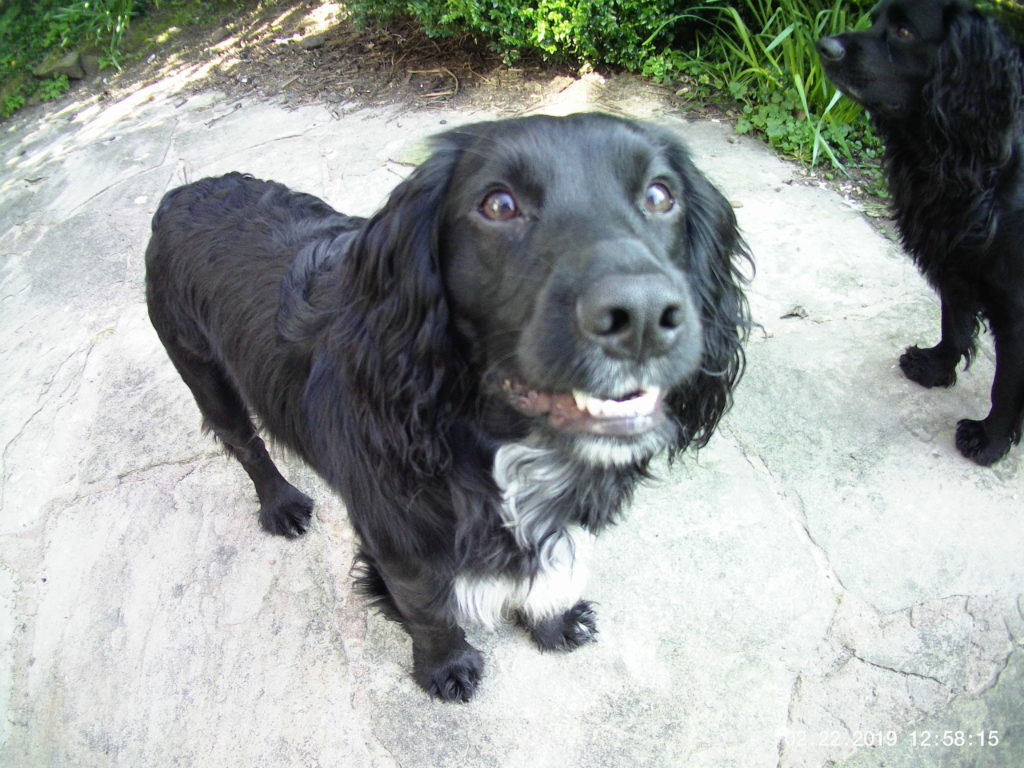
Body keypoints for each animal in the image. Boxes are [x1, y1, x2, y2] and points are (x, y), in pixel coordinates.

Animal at [144, 112, 749, 696]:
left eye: (660, 195)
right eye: (499, 204)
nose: (643, 315)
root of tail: (182, 191)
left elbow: (550, 567)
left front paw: (554, 621)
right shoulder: (399, 535)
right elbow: (428, 608)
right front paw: (446, 668)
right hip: (199, 367)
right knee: (246, 445)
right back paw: (281, 504)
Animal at [819, 0, 1024, 466]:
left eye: (905, 31)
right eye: (875, 19)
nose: (824, 46)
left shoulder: (1016, 304)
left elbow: (1005, 384)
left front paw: (989, 440)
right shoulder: (953, 259)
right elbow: (953, 320)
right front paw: (935, 367)